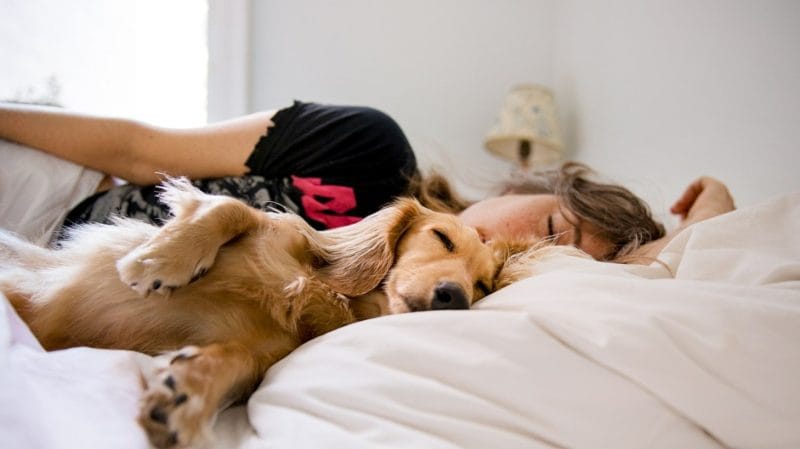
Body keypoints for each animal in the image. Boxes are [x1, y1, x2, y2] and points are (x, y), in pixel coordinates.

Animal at [0, 177, 520, 446]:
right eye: (443, 238)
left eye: (482, 285)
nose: (456, 296)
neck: (325, 292)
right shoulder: (272, 230)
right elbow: (231, 208)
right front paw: (160, 260)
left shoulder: (263, 349)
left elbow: (238, 360)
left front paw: (187, 395)